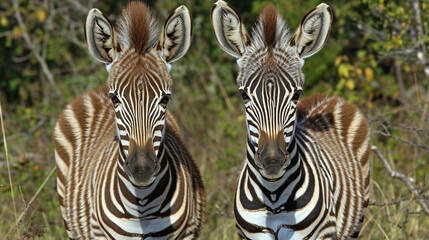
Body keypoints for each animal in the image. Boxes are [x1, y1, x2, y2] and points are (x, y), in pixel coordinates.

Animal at [52, 1, 206, 238]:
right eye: (115, 98)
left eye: (165, 98)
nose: (141, 170)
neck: (141, 204)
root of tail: (96, 90)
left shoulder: (187, 232)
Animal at [211, 1, 368, 240]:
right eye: (244, 95)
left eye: (296, 94)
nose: (272, 160)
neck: (272, 195)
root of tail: (327, 97)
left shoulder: (321, 234)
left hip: (356, 220)